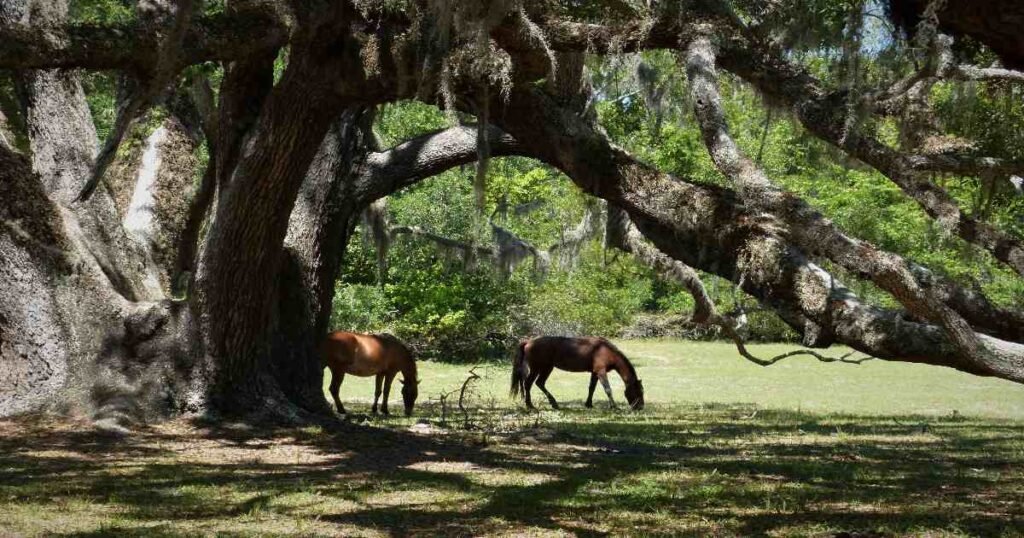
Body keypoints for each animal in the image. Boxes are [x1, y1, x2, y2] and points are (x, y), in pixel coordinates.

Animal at [509, 336, 643, 411]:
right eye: (639, 392)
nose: (640, 407)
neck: (605, 350)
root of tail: (528, 341)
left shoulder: (594, 372)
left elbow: (591, 388)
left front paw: (588, 404)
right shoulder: (601, 371)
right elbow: (608, 389)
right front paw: (614, 406)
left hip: (547, 368)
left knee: (539, 383)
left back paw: (553, 403)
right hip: (538, 368)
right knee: (529, 384)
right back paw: (530, 405)